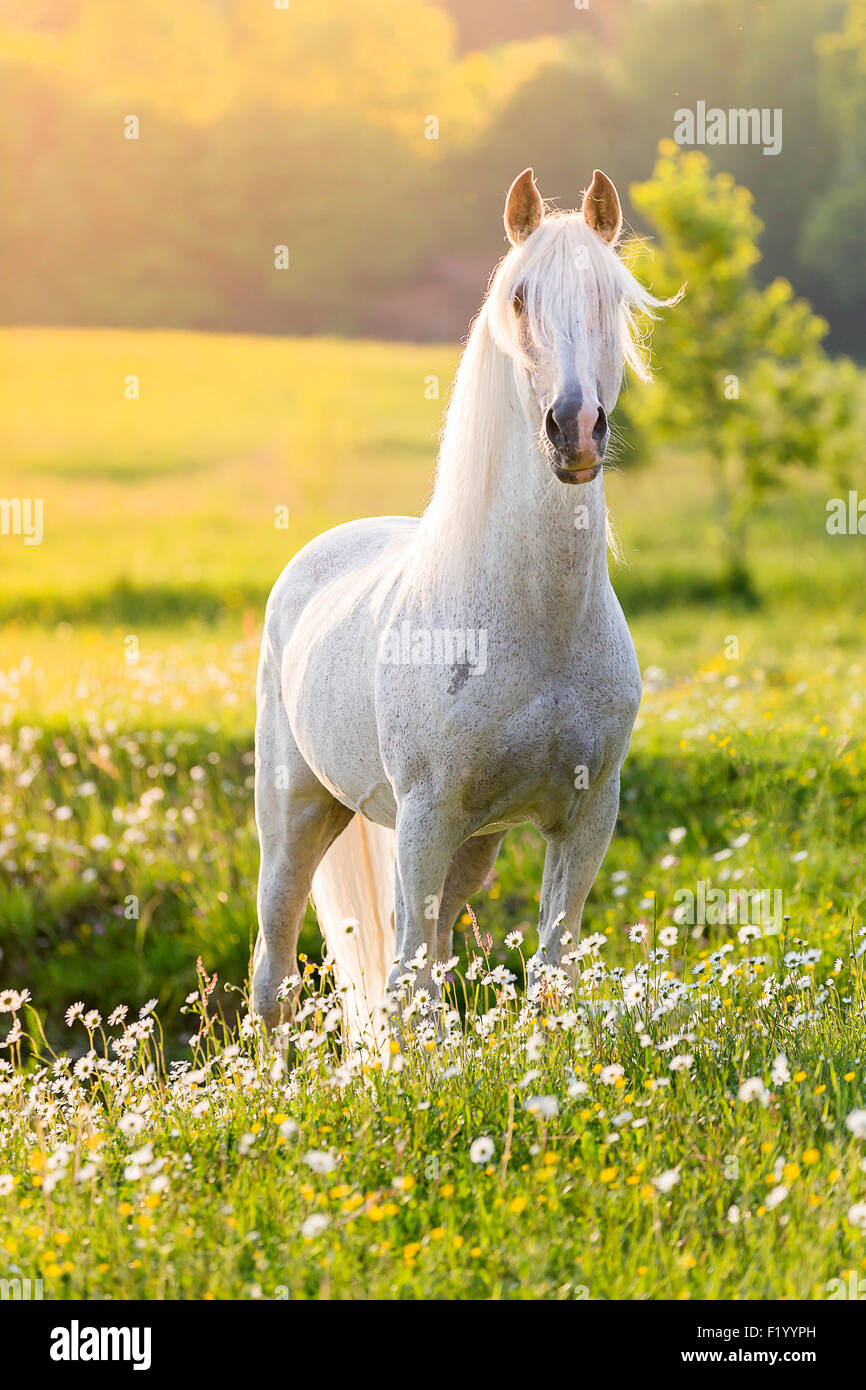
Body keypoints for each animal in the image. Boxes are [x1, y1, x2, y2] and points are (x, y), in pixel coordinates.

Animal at [250, 168, 670, 1045]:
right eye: (518, 296)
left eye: (611, 297)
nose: (575, 429)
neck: (537, 625)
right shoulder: (425, 815)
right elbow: (409, 983)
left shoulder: (585, 818)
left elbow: (547, 972)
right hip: (298, 816)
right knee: (276, 970)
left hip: (471, 845)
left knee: (436, 946)